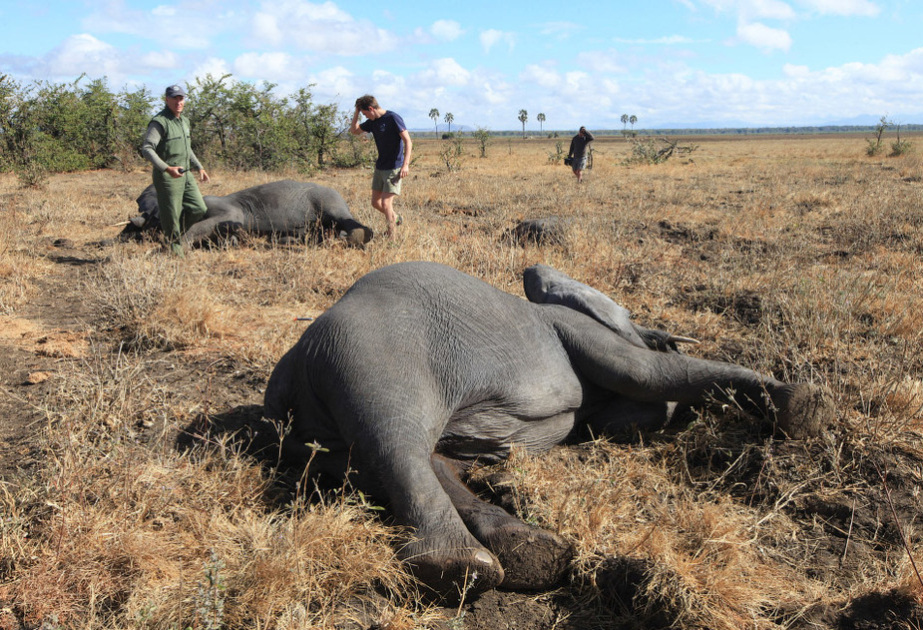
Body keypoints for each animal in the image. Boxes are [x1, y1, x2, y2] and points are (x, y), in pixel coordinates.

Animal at [120, 180, 373, 248]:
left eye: (153, 217)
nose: (123, 234)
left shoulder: (224, 210)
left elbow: (205, 225)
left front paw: (173, 246)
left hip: (331, 202)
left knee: (358, 227)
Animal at [263, 261, 834, 597]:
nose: (663, 335)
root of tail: (297, 368)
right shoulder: (572, 327)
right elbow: (649, 376)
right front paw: (802, 405)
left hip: (322, 430)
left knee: (408, 459)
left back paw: (527, 551)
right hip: (374, 354)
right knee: (397, 440)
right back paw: (464, 567)